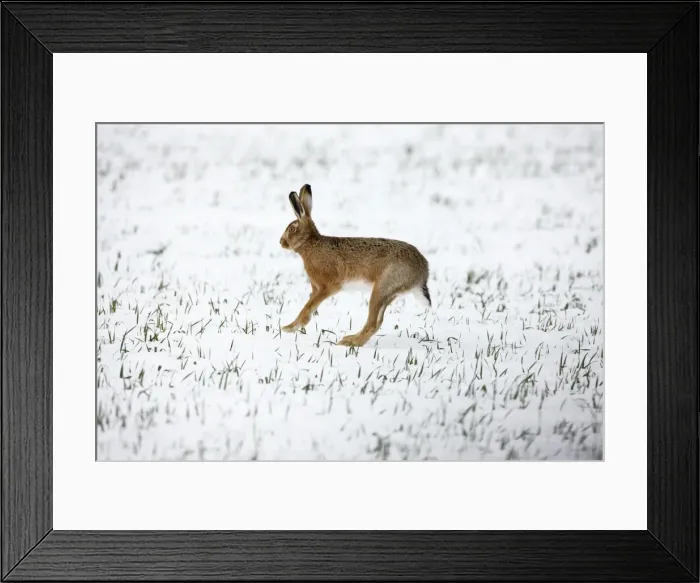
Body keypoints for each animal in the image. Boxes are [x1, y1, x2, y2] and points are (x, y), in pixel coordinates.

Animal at [279, 184, 431, 347]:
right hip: (387, 293)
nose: (281, 242)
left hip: (381, 288)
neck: (310, 244)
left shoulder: (327, 287)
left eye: (292, 229)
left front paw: (290, 327)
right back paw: (351, 339)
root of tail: (422, 272)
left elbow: (307, 307)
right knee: (377, 322)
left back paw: (350, 342)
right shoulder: (316, 288)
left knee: (372, 323)